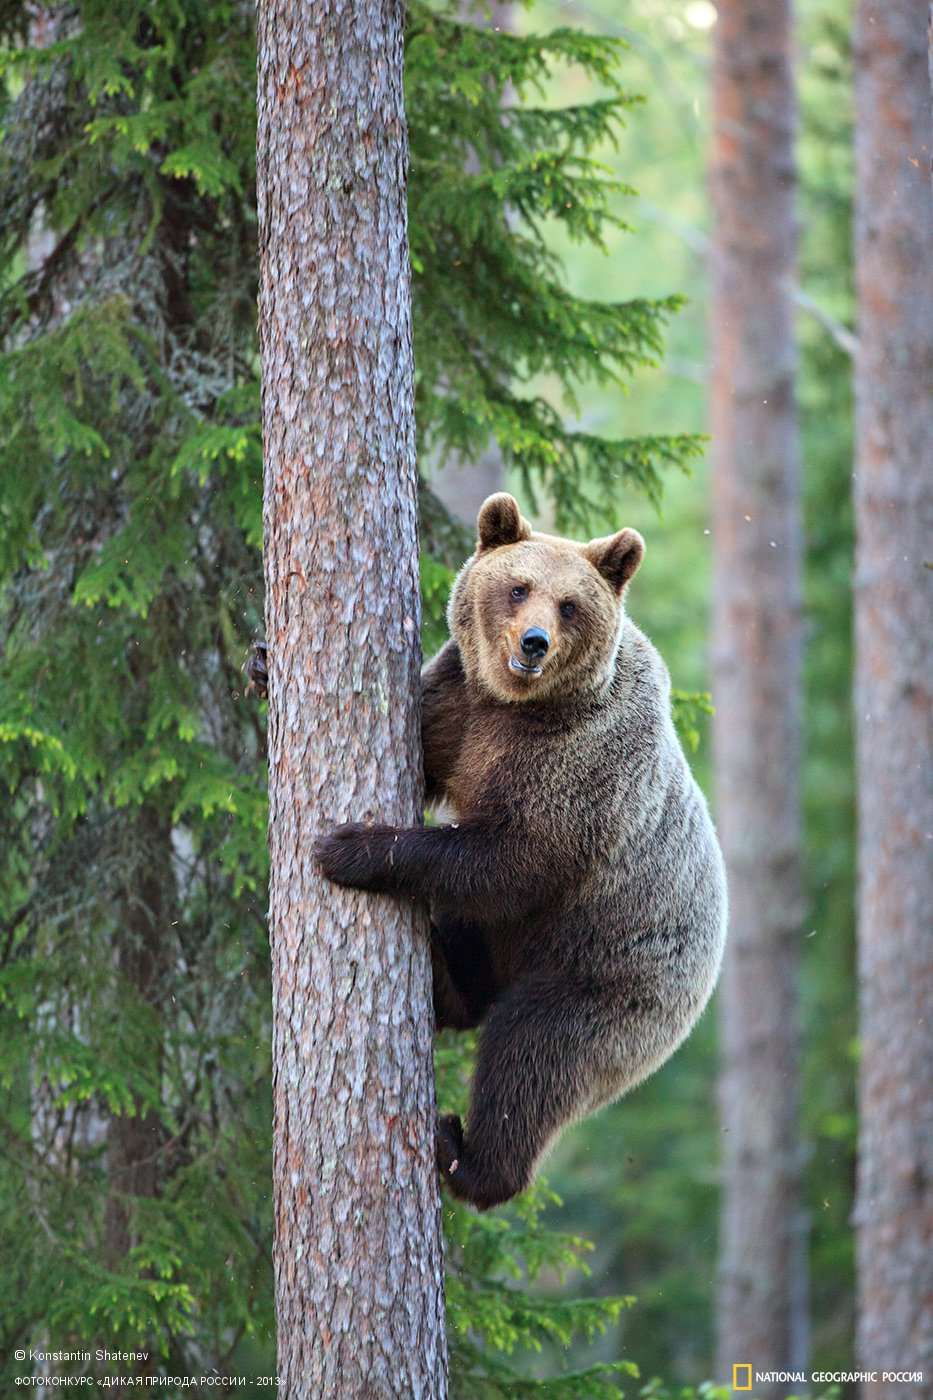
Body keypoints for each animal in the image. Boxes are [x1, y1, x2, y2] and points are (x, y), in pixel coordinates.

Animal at [312, 495, 728, 1215]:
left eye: (570, 604)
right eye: (517, 587)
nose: (533, 642)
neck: (518, 706)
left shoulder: (577, 771)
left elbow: (507, 859)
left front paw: (348, 846)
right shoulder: (457, 705)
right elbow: (433, 752)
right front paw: (259, 664)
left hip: (608, 977)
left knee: (532, 1057)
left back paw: (465, 1156)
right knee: (473, 986)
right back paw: (442, 975)